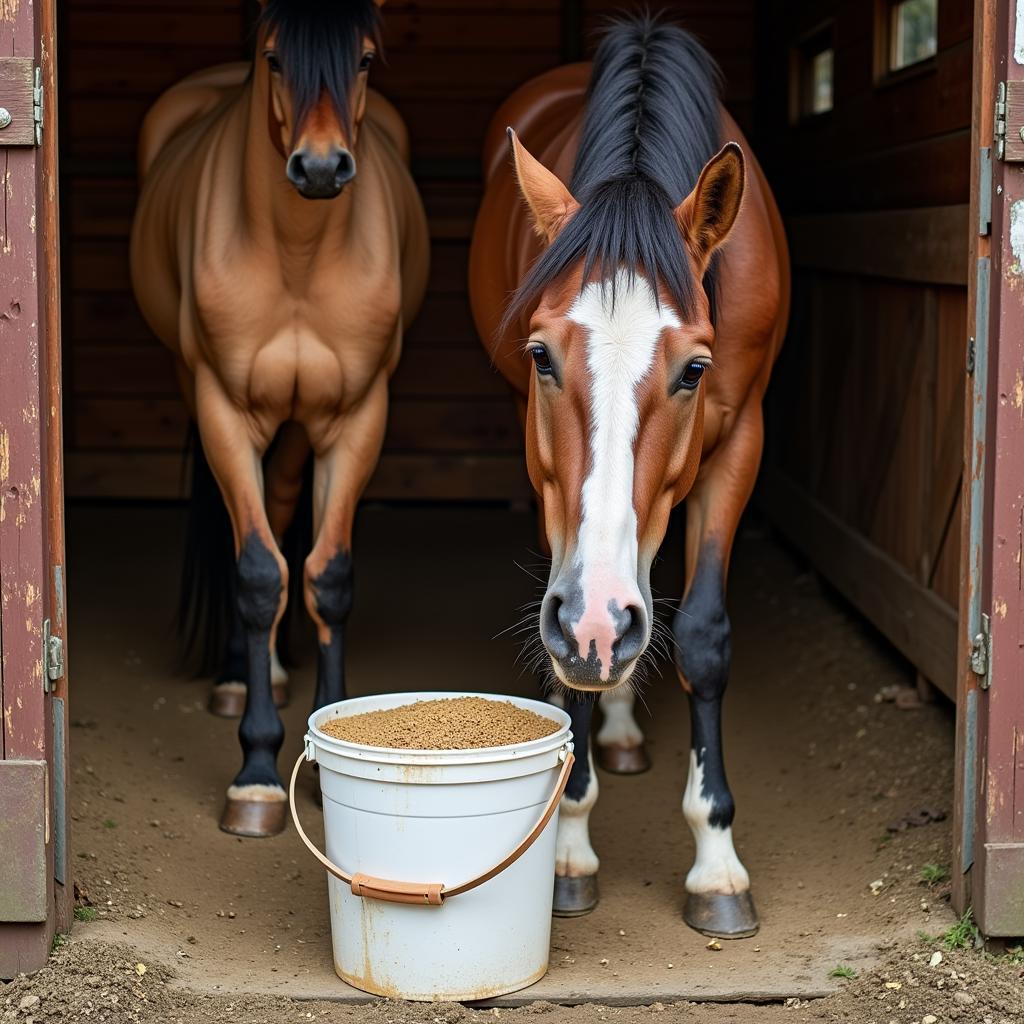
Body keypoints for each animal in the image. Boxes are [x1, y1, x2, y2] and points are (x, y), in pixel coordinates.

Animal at [131, 0, 428, 835]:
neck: (298, 254)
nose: (320, 169)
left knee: (283, 503)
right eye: (273, 56)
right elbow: (259, 575)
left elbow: (328, 576)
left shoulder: (357, 416)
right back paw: (242, 674)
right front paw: (257, 771)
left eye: (364, 57)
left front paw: (326, 753)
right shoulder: (225, 411)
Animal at [468, 14, 786, 937]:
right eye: (543, 356)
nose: (600, 623)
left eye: (694, 370)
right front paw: (569, 840)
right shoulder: (548, 477)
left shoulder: (741, 437)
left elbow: (706, 637)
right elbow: (566, 653)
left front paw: (716, 863)